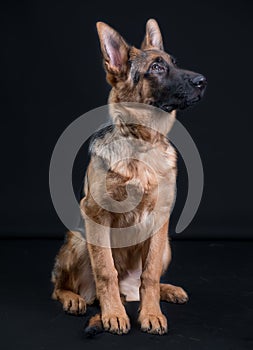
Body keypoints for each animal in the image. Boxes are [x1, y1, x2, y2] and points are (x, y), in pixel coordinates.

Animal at [51, 19, 206, 336]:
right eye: (157, 67)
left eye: (174, 63)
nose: (203, 81)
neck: (143, 143)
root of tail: (128, 290)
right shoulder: (96, 215)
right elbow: (106, 271)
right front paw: (113, 314)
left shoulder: (160, 218)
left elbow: (150, 274)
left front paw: (151, 313)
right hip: (78, 239)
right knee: (61, 286)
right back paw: (74, 299)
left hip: (166, 245)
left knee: (146, 280)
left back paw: (166, 290)